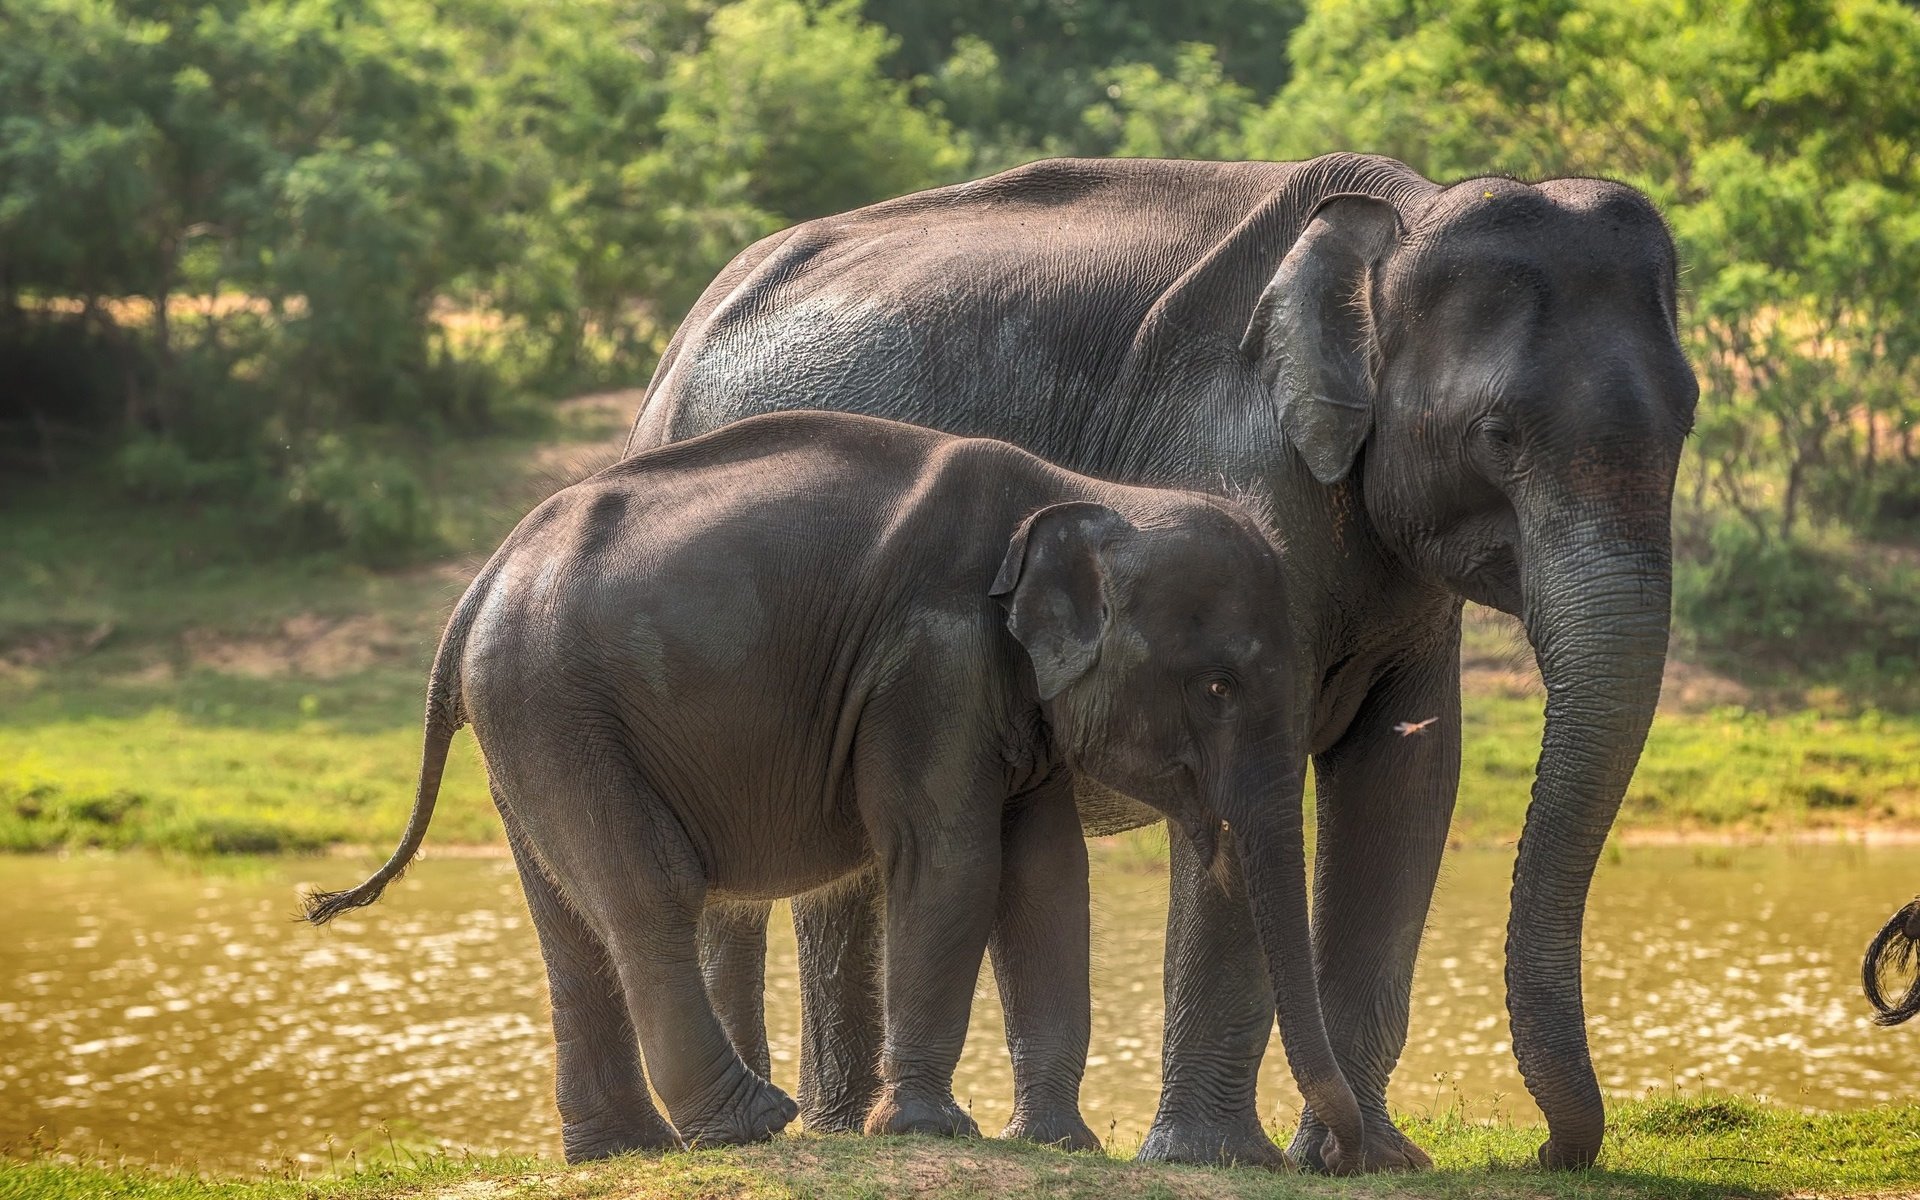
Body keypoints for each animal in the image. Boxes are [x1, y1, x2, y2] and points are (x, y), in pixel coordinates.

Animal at [307, 408, 1359, 1159]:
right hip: (556, 706)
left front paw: (1059, 1145)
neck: (1087, 495)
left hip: (522, 726)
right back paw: (750, 1125)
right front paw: (931, 1132)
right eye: (1218, 688)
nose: (1343, 1158)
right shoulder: (929, 663)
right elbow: (951, 861)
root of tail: (478, 587)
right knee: (649, 893)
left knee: (569, 921)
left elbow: (1047, 878)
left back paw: (624, 1154)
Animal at [614, 149, 1697, 1167]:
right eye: (1499, 435)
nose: (1546, 1149)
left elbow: (1407, 778)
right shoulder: (1236, 471)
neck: (1402, 215)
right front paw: (1223, 1158)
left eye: (1687, 419)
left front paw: (1369, 1160)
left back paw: (841, 1129)